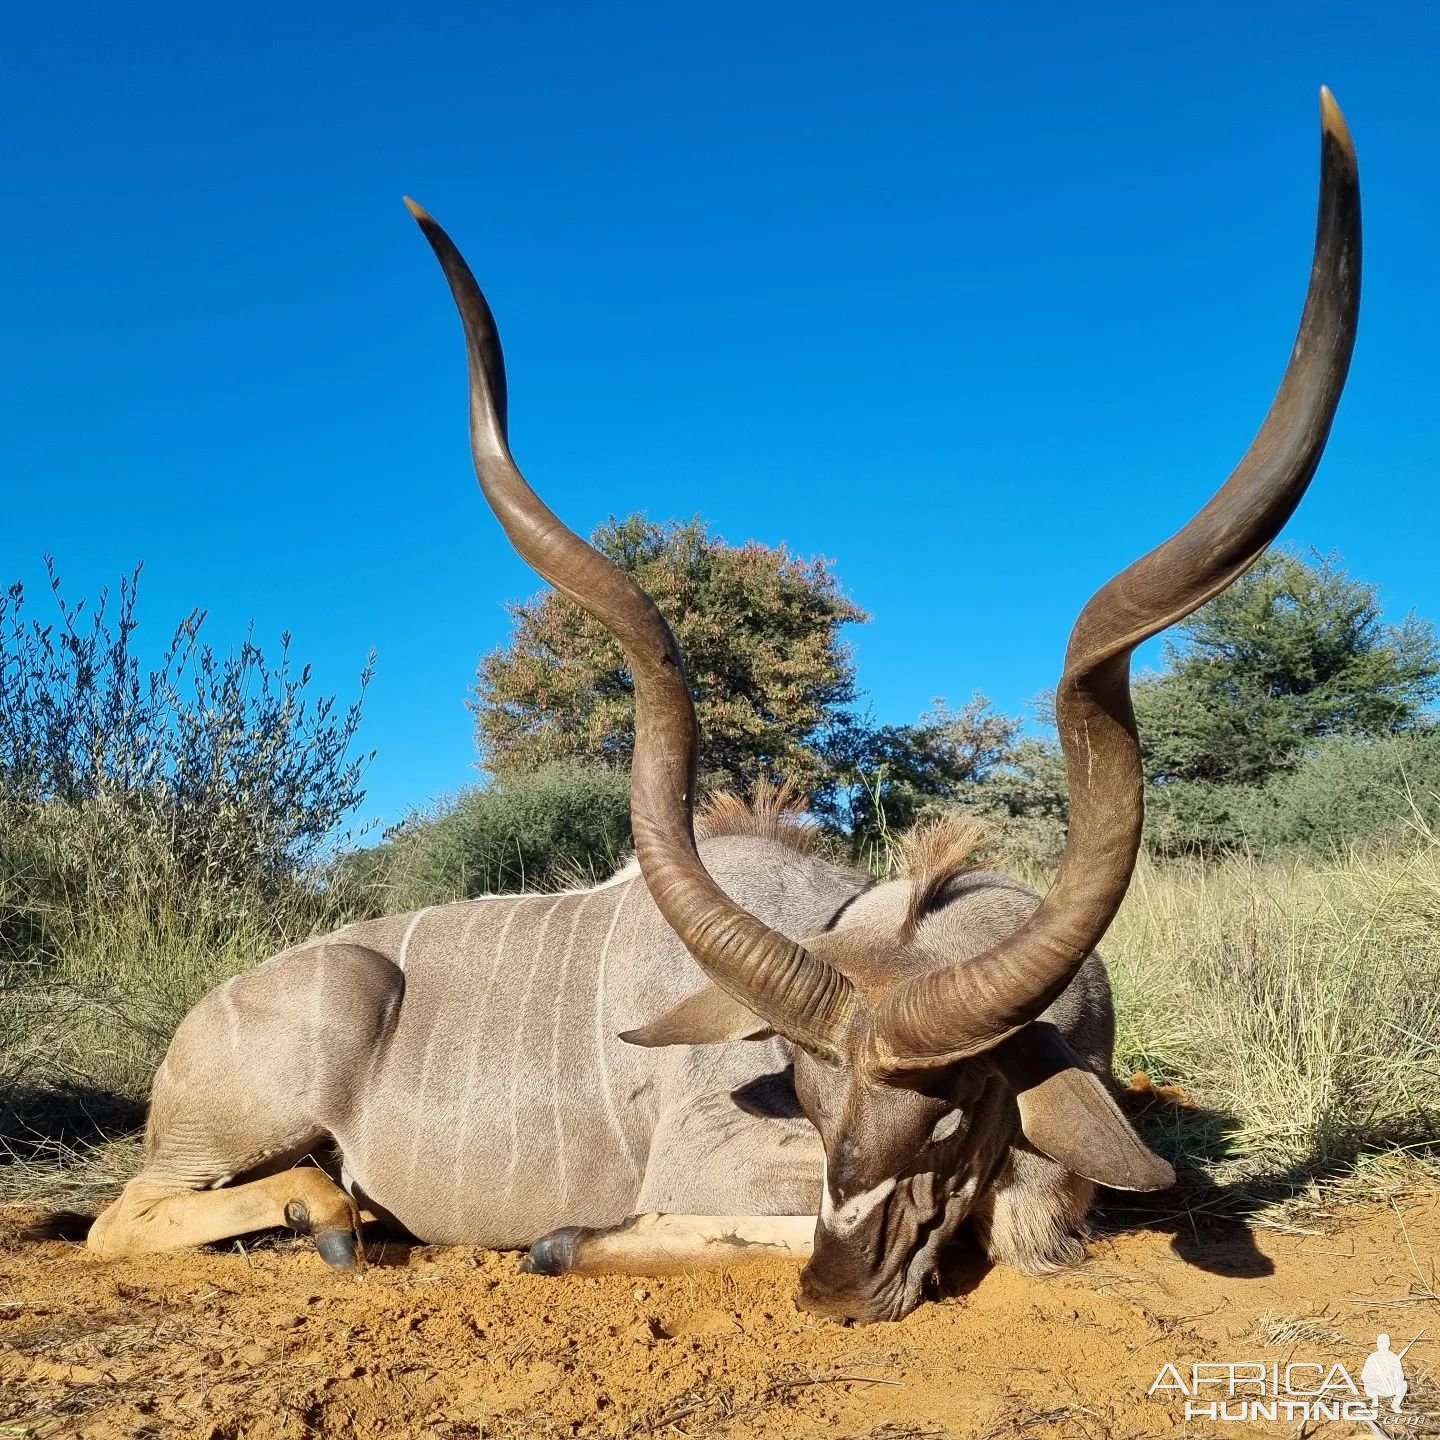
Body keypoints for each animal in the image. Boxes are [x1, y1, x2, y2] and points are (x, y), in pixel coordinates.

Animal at [92, 90, 1359, 1319]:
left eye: (951, 1110)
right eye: (802, 1089)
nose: (841, 1290)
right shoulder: (714, 1157)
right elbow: (980, 1222)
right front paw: (569, 1239)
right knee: (122, 1218)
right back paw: (327, 1216)